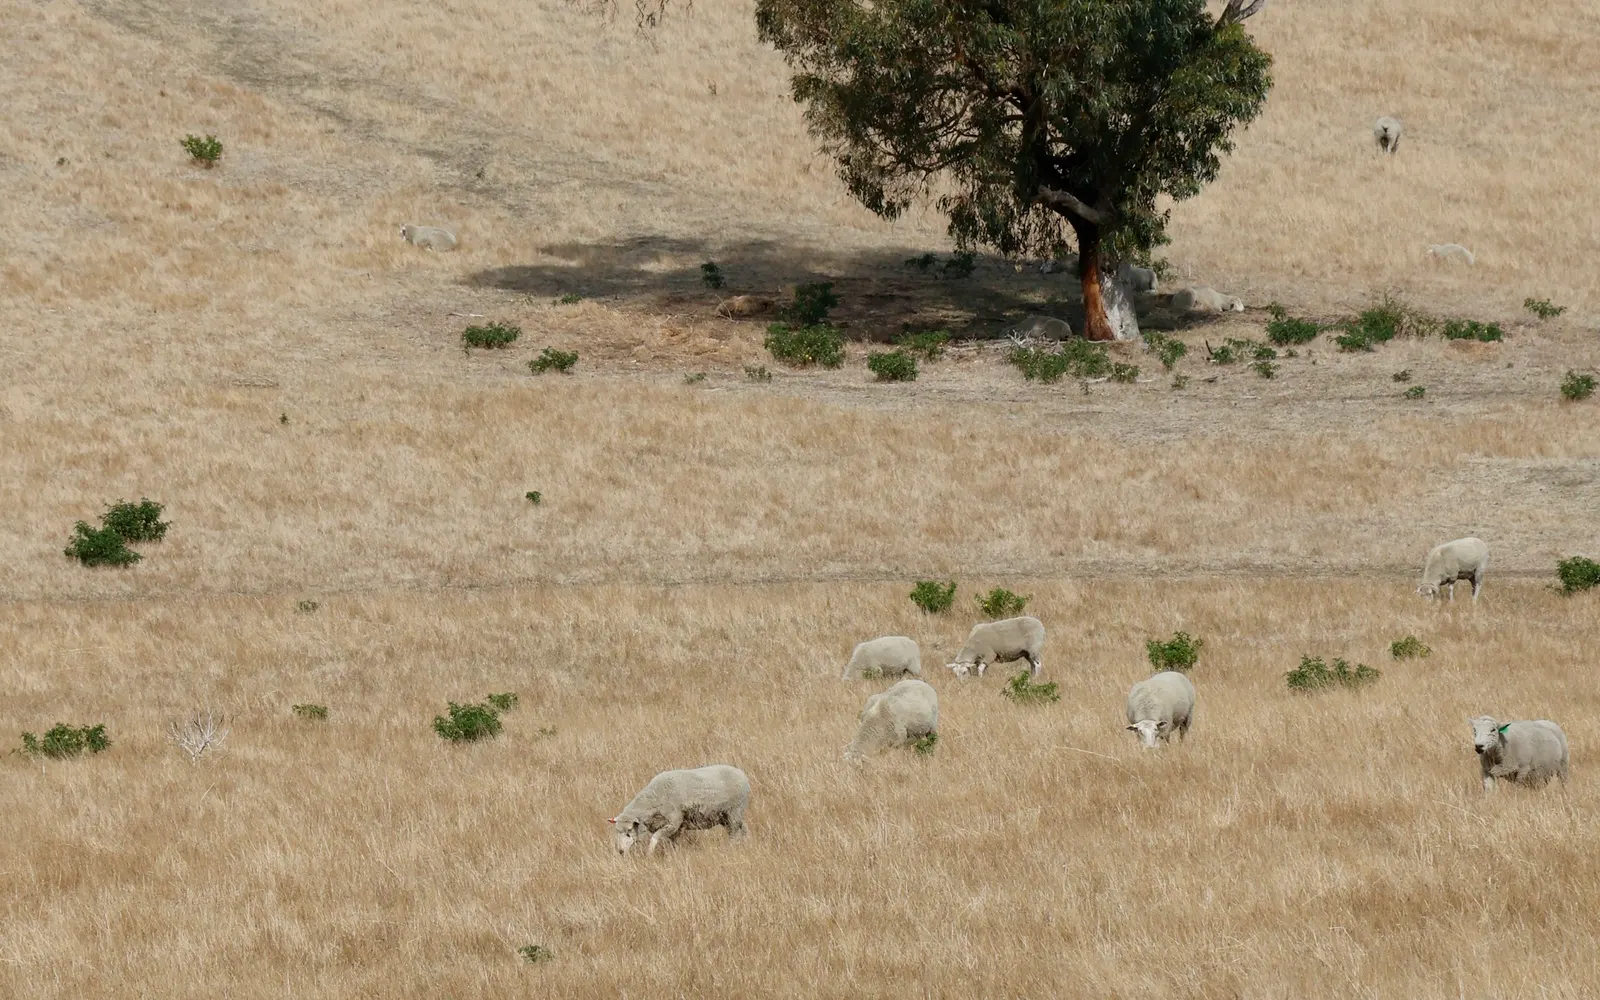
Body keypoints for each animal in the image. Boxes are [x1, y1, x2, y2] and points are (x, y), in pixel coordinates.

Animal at [609, 764, 750, 855]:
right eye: (617, 831)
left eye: (629, 831)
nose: (620, 851)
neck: (654, 798)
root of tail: (741, 774)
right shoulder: (675, 828)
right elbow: (673, 842)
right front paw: (675, 854)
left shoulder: (674, 822)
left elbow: (655, 837)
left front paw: (649, 853)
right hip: (726, 816)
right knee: (743, 828)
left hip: (734, 812)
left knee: (734, 833)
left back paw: (731, 847)